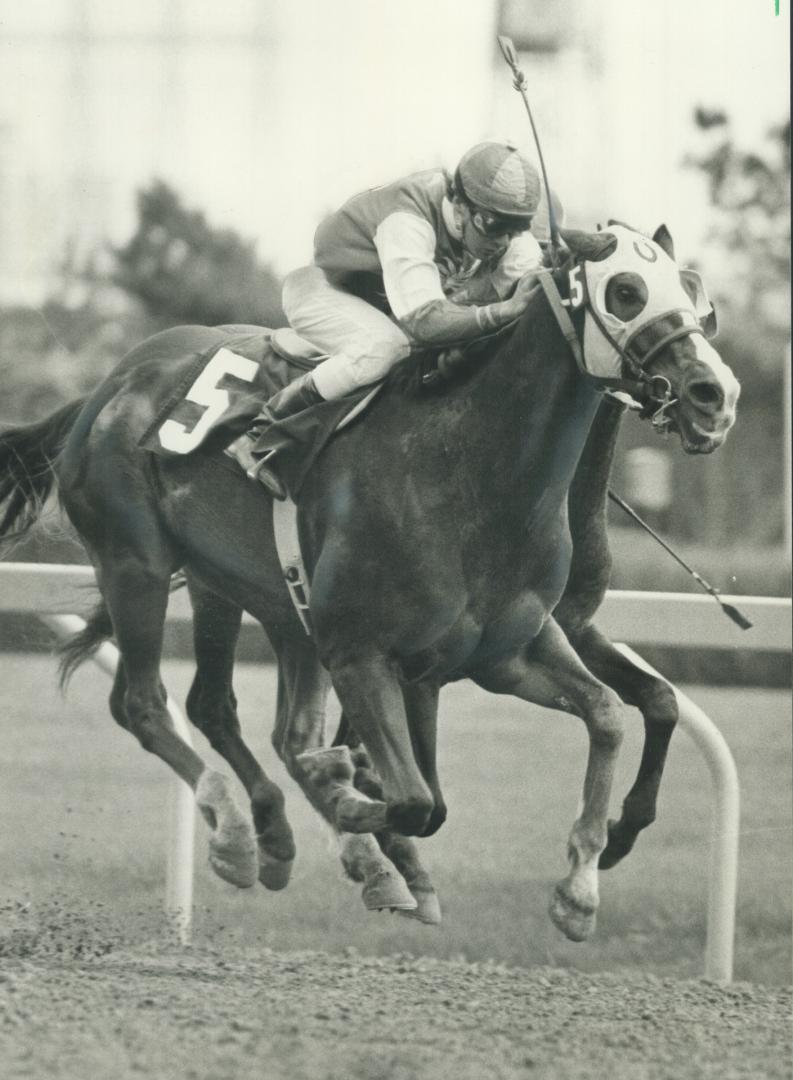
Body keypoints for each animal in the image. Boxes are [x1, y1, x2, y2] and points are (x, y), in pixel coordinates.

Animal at [3, 225, 743, 937]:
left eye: (699, 299)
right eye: (625, 290)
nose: (716, 395)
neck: (470, 473)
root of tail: (109, 386)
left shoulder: (508, 652)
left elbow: (615, 713)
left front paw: (583, 882)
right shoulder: (366, 653)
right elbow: (417, 799)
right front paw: (362, 816)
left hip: (247, 593)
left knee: (227, 710)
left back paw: (290, 835)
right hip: (138, 563)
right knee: (145, 703)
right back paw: (243, 833)